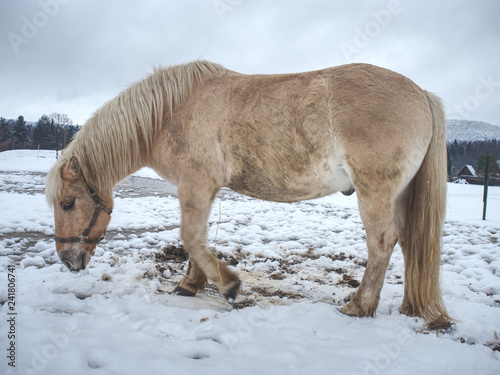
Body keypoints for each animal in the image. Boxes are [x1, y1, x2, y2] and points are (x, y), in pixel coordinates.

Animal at [47, 60, 452, 328]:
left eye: (68, 203)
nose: (69, 260)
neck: (170, 112)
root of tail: (422, 94)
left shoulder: (196, 184)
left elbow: (191, 237)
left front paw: (227, 285)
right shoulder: (201, 188)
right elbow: (198, 238)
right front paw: (191, 284)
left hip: (375, 192)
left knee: (382, 242)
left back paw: (359, 305)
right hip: (400, 196)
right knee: (410, 243)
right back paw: (409, 308)